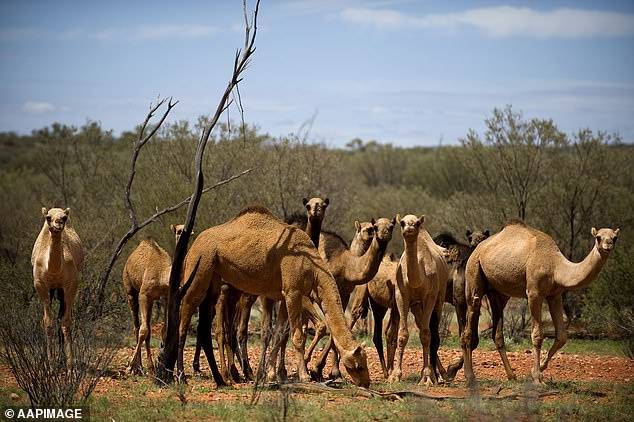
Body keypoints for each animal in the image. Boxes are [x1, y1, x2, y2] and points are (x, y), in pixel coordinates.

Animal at [31, 207, 84, 366]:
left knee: (61, 316)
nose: (58, 223)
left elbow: (66, 323)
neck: (53, 270)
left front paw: (70, 365)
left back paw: (62, 357)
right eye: (48, 217)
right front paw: (50, 363)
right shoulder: (40, 285)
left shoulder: (71, 285)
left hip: (61, 290)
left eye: (65, 218)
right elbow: (47, 323)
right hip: (54, 289)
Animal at [122, 224, 184, 372]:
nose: (186, 232)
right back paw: (137, 367)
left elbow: (163, 329)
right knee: (137, 327)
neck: (162, 274)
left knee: (148, 330)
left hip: (150, 301)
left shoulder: (167, 295)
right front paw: (130, 366)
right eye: (178, 231)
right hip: (130, 289)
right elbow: (143, 330)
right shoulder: (144, 295)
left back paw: (148, 366)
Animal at [177, 206, 370, 388]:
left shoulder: (284, 296)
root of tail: (195, 243)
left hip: (214, 278)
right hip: (200, 266)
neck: (314, 268)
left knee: (205, 326)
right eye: (359, 365)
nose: (366, 382)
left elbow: (278, 334)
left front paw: (270, 375)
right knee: (185, 311)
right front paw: (304, 376)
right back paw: (183, 377)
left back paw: (222, 379)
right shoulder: (293, 291)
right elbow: (297, 336)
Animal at [388, 214, 446, 386]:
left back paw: (439, 375)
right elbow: (402, 334)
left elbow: (426, 335)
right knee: (422, 326)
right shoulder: (402, 296)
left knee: (432, 332)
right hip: (416, 306)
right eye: (402, 223)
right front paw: (395, 375)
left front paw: (426, 377)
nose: (409, 228)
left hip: (439, 298)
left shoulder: (430, 297)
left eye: (417, 223)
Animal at [460, 221, 616, 386]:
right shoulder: (534, 293)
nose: (608, 245)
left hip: (498, 292)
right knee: (470, 320)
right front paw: (537, 378)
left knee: (497, 333)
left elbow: (562, 336)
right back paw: (470, 377)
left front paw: (537, 370)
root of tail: (477, 249)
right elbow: (537, 335)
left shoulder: (555, 295)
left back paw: (511, 375)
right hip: (474, 271)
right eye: (598, 237)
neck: (556, 266)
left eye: (615, 237)